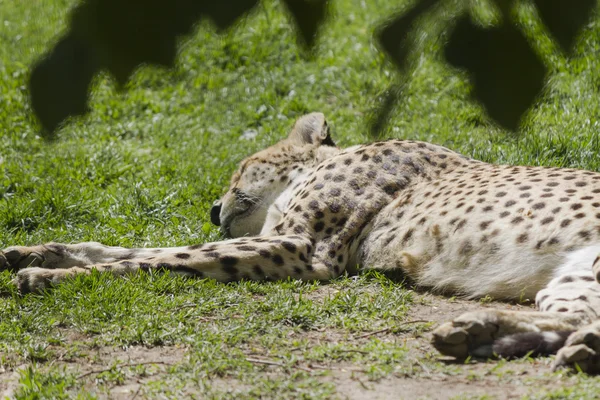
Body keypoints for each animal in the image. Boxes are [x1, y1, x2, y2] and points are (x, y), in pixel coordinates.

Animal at [5, 111, 600, 372]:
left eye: (241, 168)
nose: (213, 209)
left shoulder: (302, 253)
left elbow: (166, 259)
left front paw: (48, 275)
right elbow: (135, 250)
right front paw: (39, 251)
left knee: (584, 322)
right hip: (569, 279)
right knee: (570, 316)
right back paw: (481, 332)